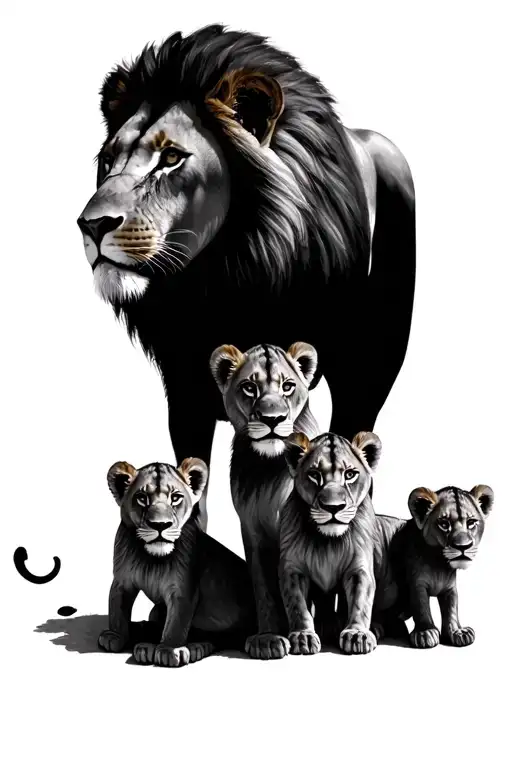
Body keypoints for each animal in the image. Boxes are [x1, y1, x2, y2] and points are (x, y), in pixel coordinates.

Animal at [77, 25, 416, 524]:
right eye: (107, 161)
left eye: (171, 158)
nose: (91, 224)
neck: (222, 280)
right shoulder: (185, 391)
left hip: (373, 365)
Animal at [99, 458, 256, 666]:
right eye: (142, 498)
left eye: (175, 498)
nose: (160, 525)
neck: (152, 558)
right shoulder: (122, 581)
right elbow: (117, 607)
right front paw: (115, 636)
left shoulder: (182, 590)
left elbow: (176, 622)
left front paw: (169, 650)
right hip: (157, 610)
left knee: (214, 638)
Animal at [209, 341, 319, 659]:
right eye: (249, 387)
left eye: (287, 386)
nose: (273, 419)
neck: (267, 469)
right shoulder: (251, 529)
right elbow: (264, 587)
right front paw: (268, 639)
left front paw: (303, 636)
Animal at [279, 431, 405, 655]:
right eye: (314, 474)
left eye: (350, 474)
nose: (333, 507)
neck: (327, 541)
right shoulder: (292, 570)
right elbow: (297, 605)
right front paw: (303, 637)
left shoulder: (359, 569)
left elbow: (360, 602)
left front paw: (357, 635)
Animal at [389, 484, 494, 649]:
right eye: (444, 524)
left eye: (471, 522)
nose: (463, 547)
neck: (440, 564)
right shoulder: (417, 584)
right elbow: (421, 606)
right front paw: (425, 632)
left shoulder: (450, 588)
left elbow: (451, 609)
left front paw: (457, 632)